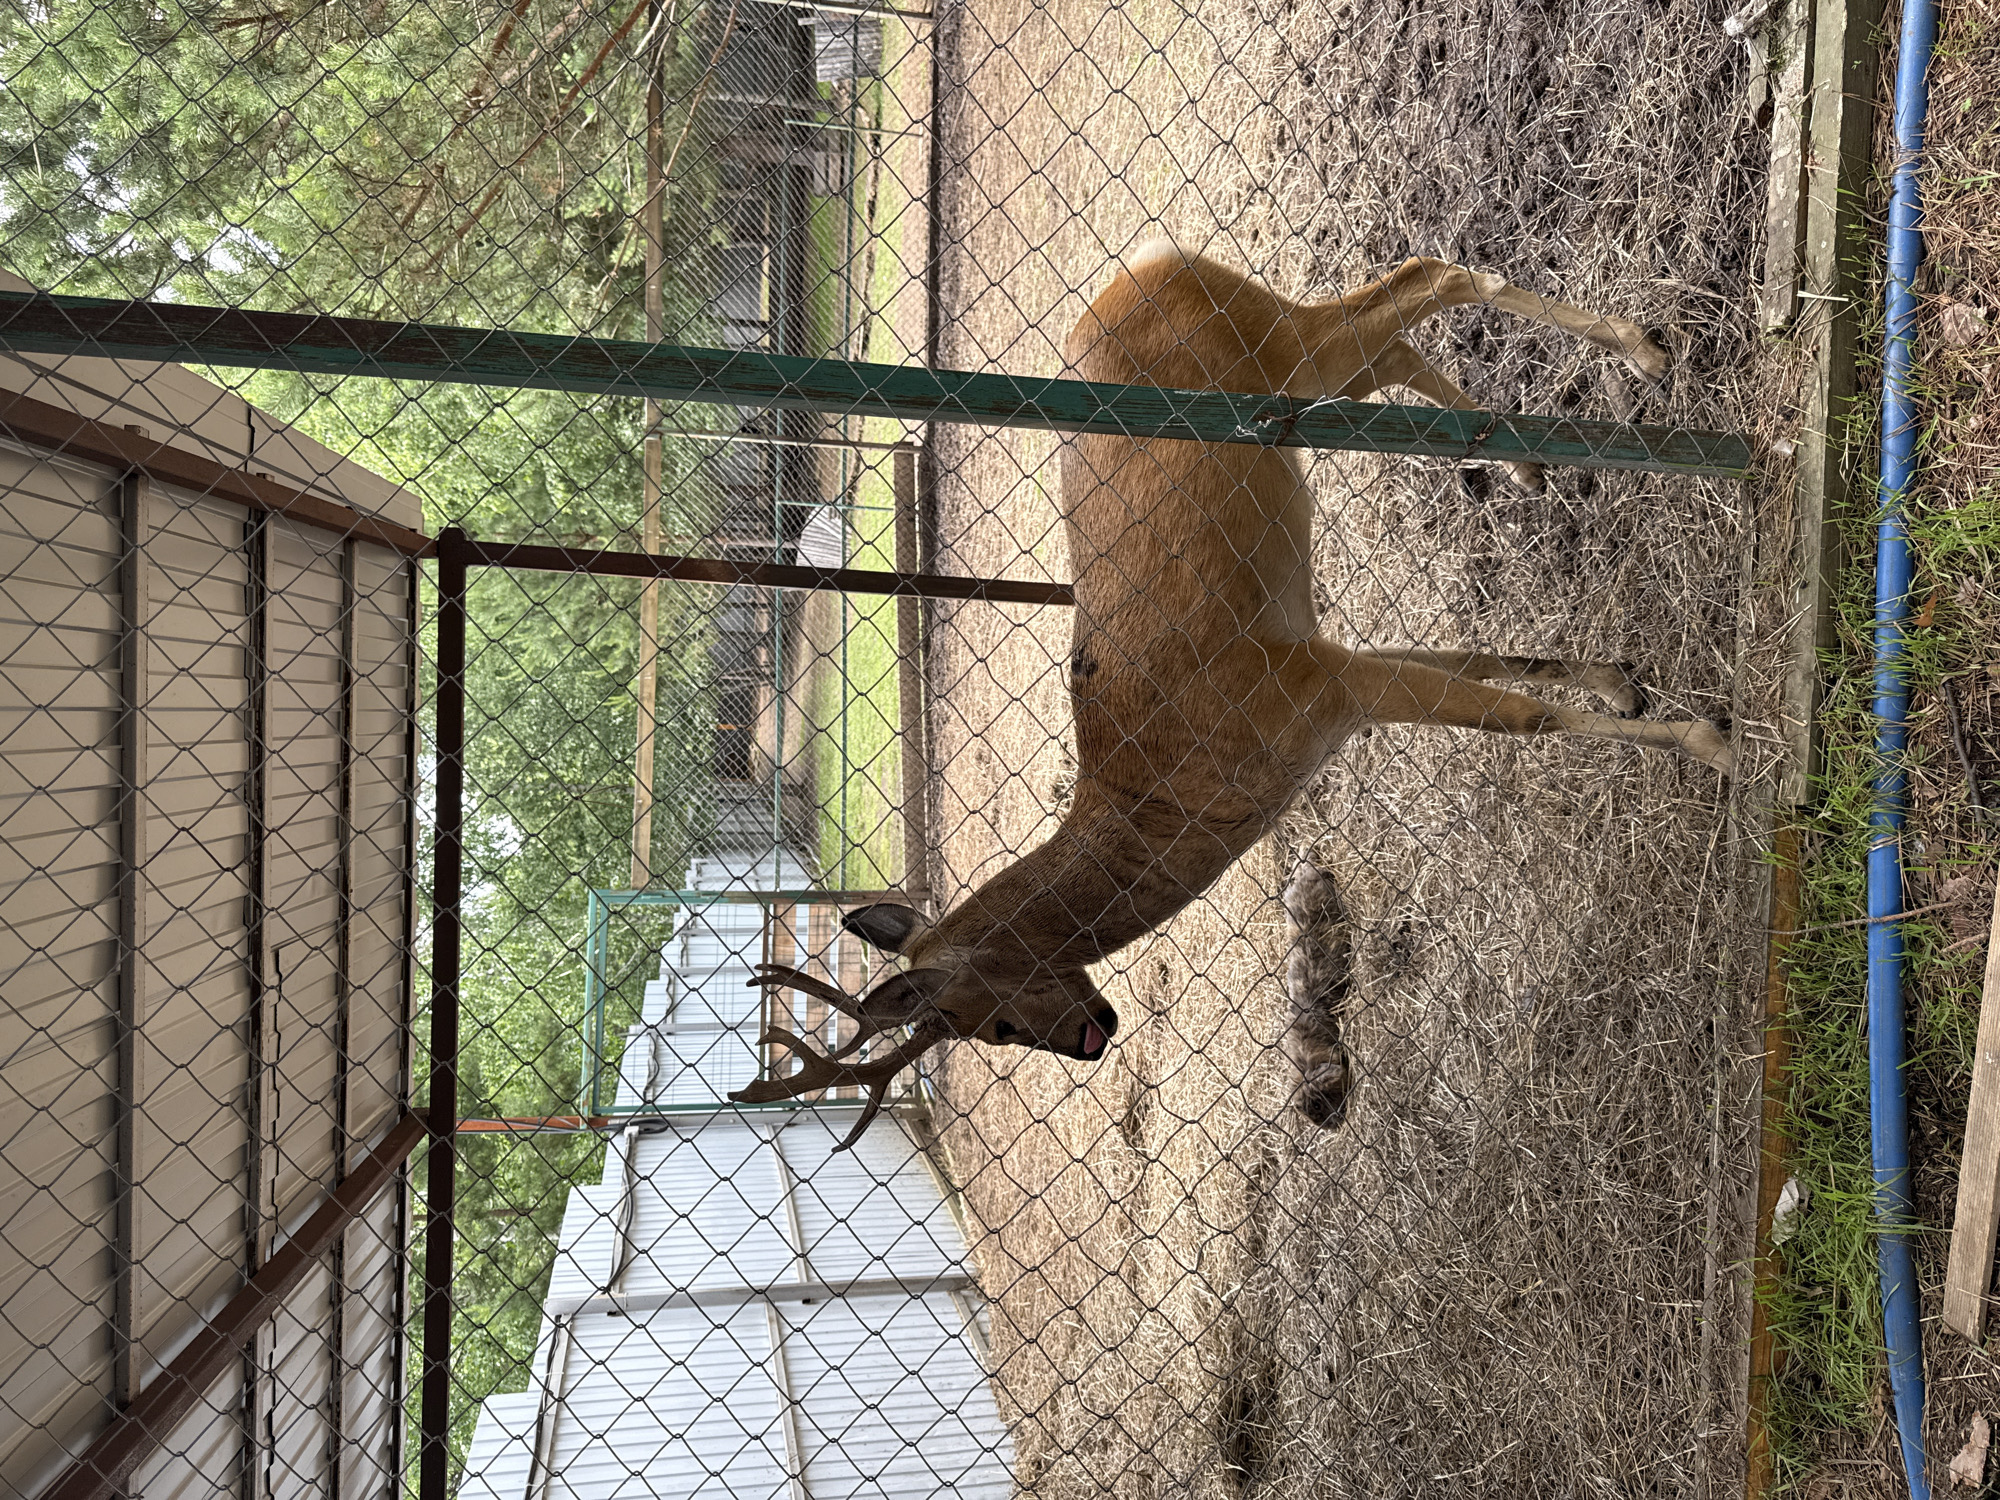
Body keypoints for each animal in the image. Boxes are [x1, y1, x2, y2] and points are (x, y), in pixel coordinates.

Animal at [732, 243, 1735, 1147]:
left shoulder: (1316, 688)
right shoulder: (1325, 663)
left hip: (1280, 352)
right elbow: (1481, 659)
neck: (1176, 795)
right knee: (1388, 343)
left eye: (993, 1023)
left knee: (1426, 277)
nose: (1093, 1040)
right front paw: (1625, 684)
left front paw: (1712, 740)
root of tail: (1143, 267)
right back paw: (1528, 461)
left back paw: (1646, 354)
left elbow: (1518, 717)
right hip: (1291, 373)